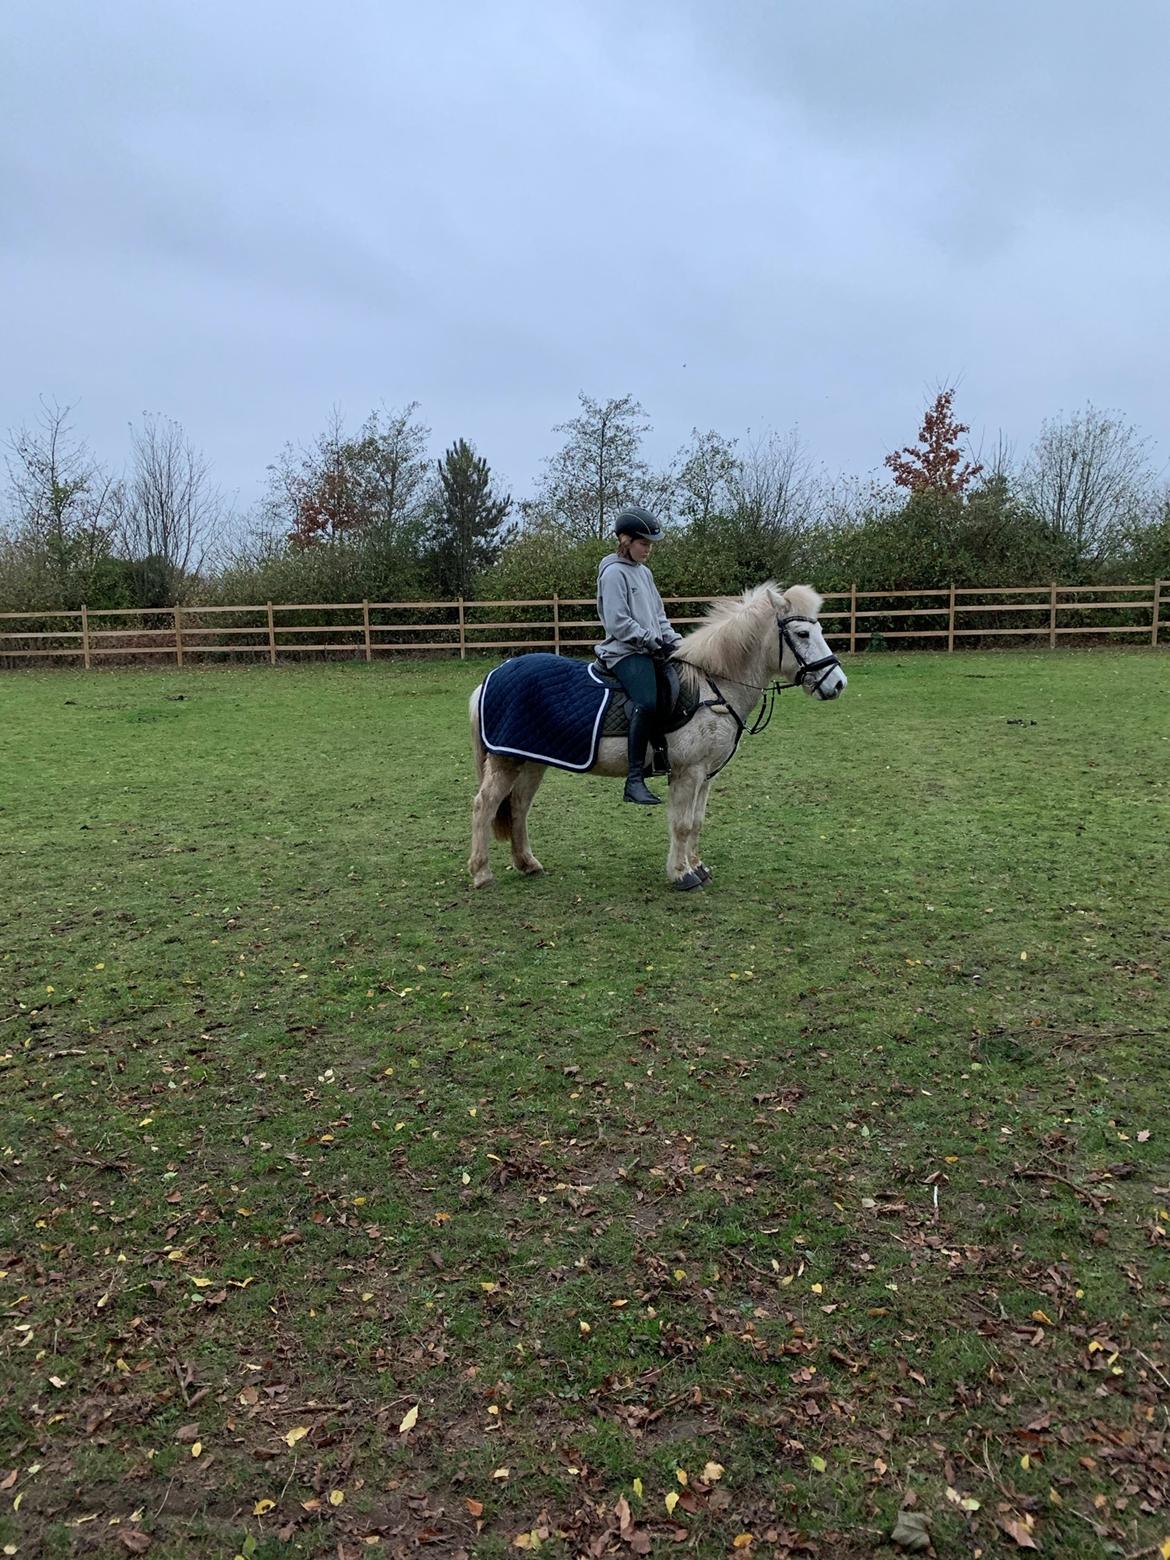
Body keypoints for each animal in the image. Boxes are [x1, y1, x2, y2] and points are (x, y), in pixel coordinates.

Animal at [464, 583, 842, 892]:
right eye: (802, 633)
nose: (837, 683)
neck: (713, 688)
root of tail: (491, 678)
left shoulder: (706, 775)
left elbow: (696, 823)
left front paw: (697, 867)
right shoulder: (688, 772)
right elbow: (682, 824)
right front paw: (681, 874)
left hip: (531, 761)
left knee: (518, 806)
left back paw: (528, 864)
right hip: (507, 760)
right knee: (485, 805)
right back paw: (482, 873)